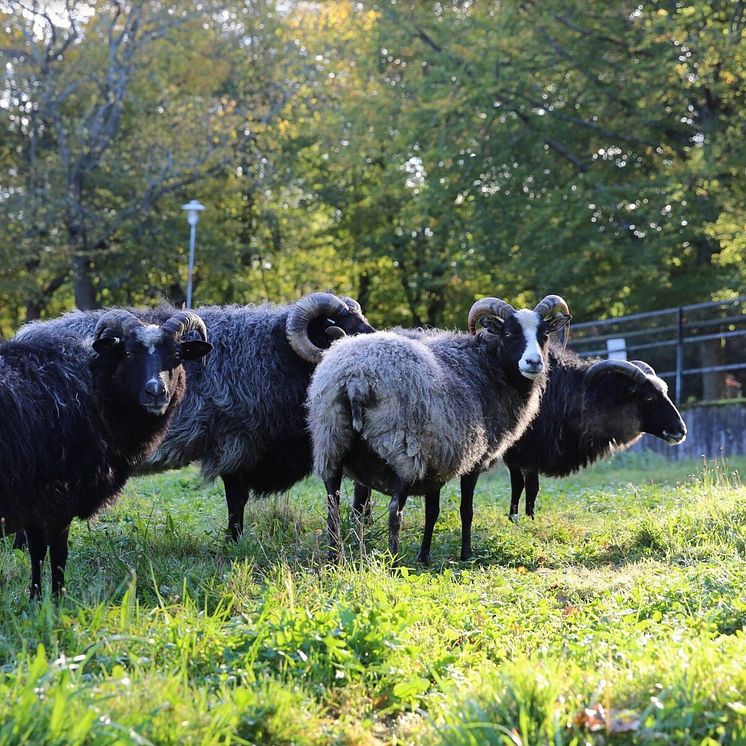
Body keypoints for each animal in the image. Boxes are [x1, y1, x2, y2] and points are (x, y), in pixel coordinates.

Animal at [1, 306, 211, 592]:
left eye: (177, 356)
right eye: (129, 354)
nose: (156, 392)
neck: (97, 389)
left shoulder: (34, 502)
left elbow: (37, 555)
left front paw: (36, 596)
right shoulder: (58, 497)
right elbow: (56, 556)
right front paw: (56, 597)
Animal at [16, 288, 378, 536]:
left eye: (362, 318)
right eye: (336, 323)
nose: (379, 341)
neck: (275, 351)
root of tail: (25, 334)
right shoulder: (235, 441)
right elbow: (236, 499)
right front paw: (233, 540)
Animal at [306, 294, 568, 560]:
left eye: (544, 334)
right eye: (509, 333)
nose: (534, 362)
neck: (489, 366)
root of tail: (356, 379)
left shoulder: (438, 458)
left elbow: (432, 512)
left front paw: (424, 557)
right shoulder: (472, 458)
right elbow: (466, 510)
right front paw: (465, 554)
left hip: (331, 441)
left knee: (333, 506)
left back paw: (335, 557)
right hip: (402, 450)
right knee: (394, 511)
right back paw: (393, 560)